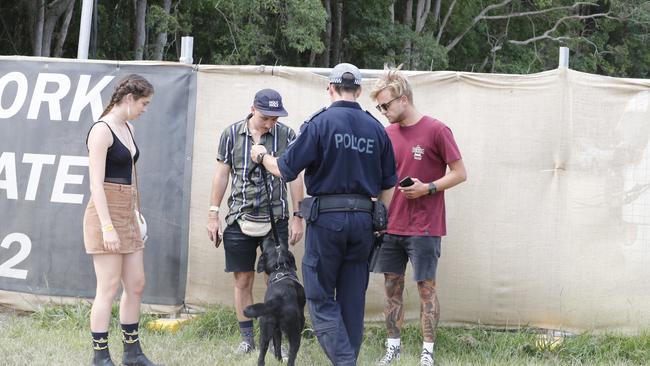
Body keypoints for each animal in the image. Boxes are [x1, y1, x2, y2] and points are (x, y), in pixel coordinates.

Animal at [242, 236, 306, 364]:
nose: (270, 235)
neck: (280, 268)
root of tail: (278, 299)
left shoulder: (276, 331)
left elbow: (277, 346)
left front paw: (278, 359)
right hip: (294, 333)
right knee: (292, 357)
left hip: (265, 331)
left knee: (261, 357)